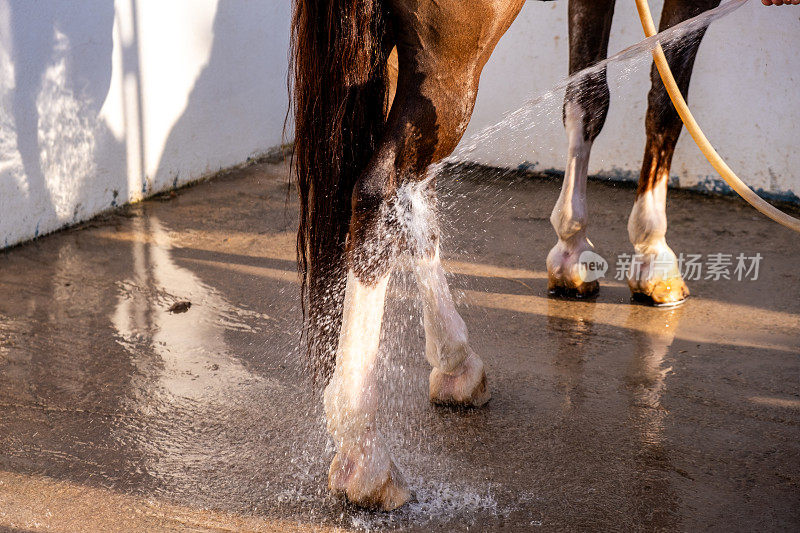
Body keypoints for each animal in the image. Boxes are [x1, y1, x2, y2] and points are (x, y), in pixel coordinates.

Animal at [292, 0, 720, 510]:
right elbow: (666, 104)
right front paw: (652, 253)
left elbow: (587, 98)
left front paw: (571, 249)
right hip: (451, 58)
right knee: (381, 191)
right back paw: (363, 451)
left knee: (412, 197)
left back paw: (456, 364)